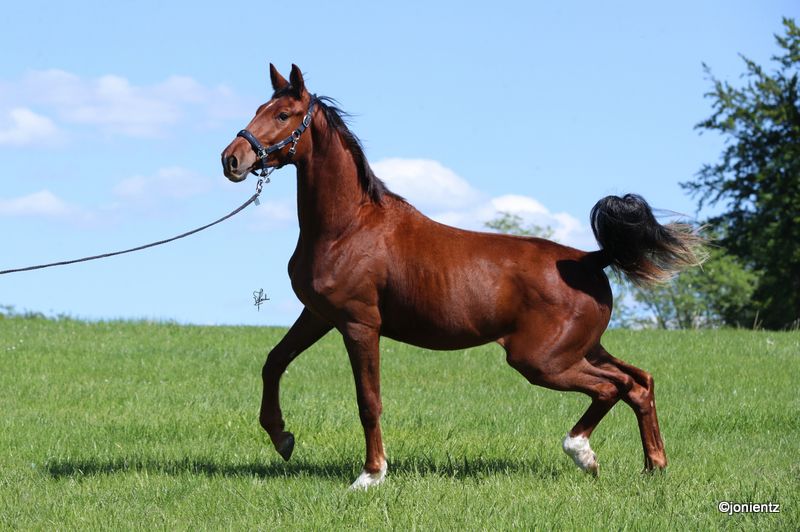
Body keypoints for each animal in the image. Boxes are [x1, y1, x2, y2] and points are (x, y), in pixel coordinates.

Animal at [220, 64, 704, 489]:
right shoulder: (319, 314)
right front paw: (282, 437)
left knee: (613, 386)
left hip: (541, 360)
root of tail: (590, 259)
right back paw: (653, 466)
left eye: (283, 115)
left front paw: (371, 475)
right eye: (259, 107)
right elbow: (274, 361)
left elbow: (368, 401)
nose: (232, 159)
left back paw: (583, 454)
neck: (349, 227)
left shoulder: (360, 324)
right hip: (581, 348)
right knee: (639, 382)